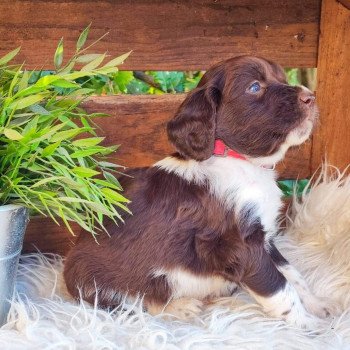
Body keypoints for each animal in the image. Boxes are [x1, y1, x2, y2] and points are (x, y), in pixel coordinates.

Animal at [64, 55, 330, 328]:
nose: (310, 97)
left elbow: (291, 272)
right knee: (140, 303)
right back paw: (181, 307)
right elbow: (279, 287)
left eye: (283, 79)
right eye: (255, 87)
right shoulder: (240, 245)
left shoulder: (264, 236)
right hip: (100, 280)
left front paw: (318, 307)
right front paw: (307, 327)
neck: (238, 161)